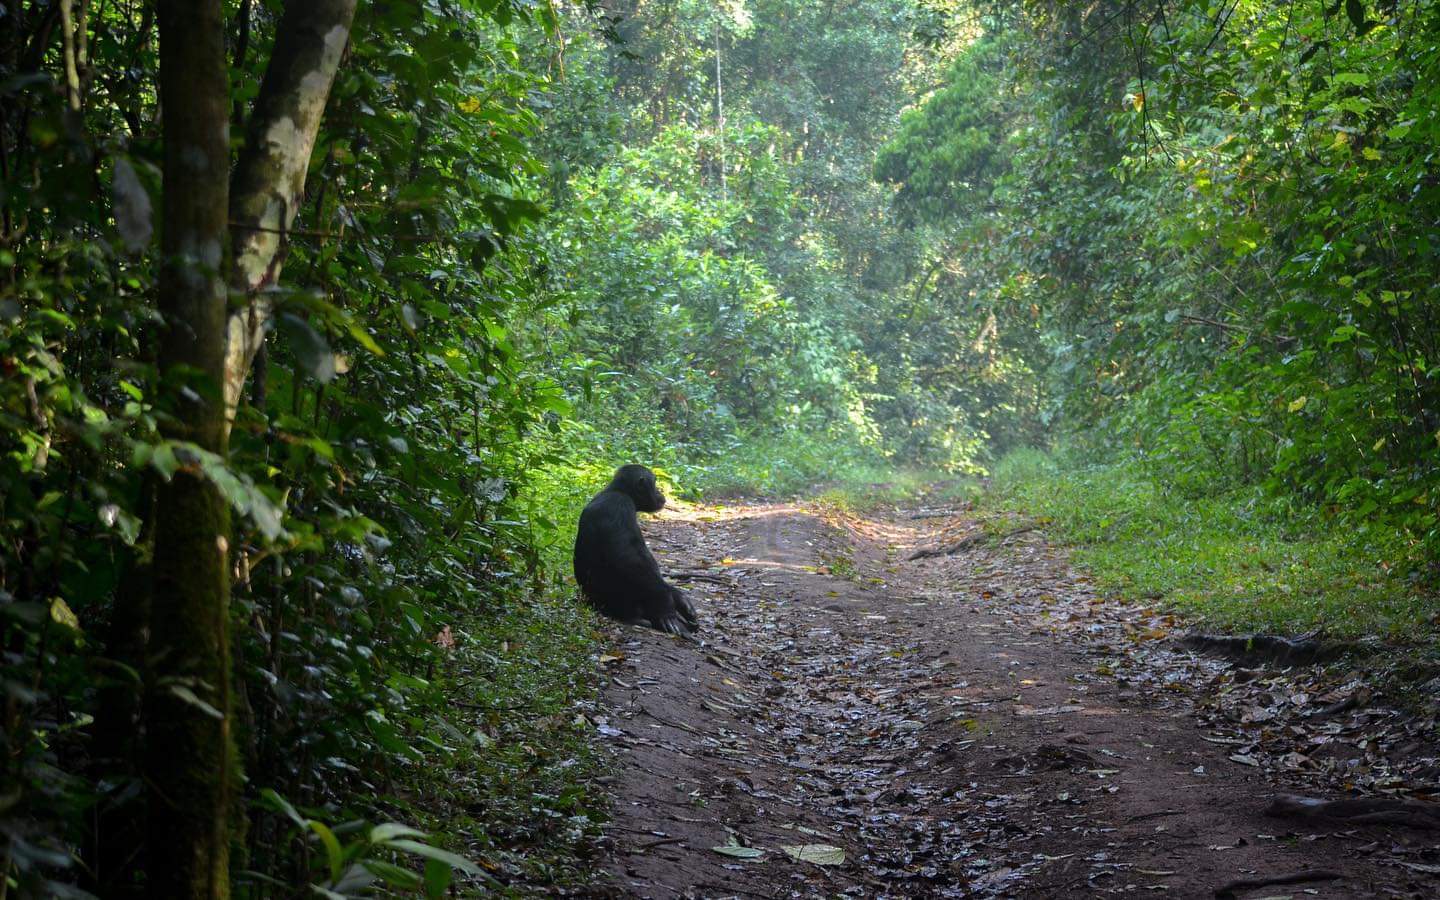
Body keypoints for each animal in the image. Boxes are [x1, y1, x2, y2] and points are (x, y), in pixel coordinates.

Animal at [576, 466, 699, 636]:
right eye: (654, 483)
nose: (660, 492)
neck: (622, 492)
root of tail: (586, 600)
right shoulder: (619, 506)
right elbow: (627, 559)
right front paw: (666, 606)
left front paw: (680, 599)